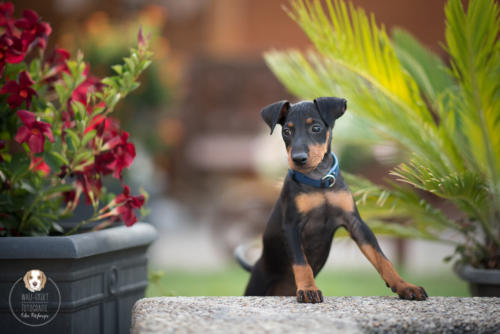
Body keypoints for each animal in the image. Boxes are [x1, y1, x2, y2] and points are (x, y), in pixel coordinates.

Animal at [242, 96, 426, 302]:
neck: (318, 182)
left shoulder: (356, 223)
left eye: (316, 128)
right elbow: (301, 263)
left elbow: (381, 258)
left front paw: (404, 285)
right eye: (286, 132)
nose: (298, 159)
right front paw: (308, 289)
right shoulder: (291, 225)